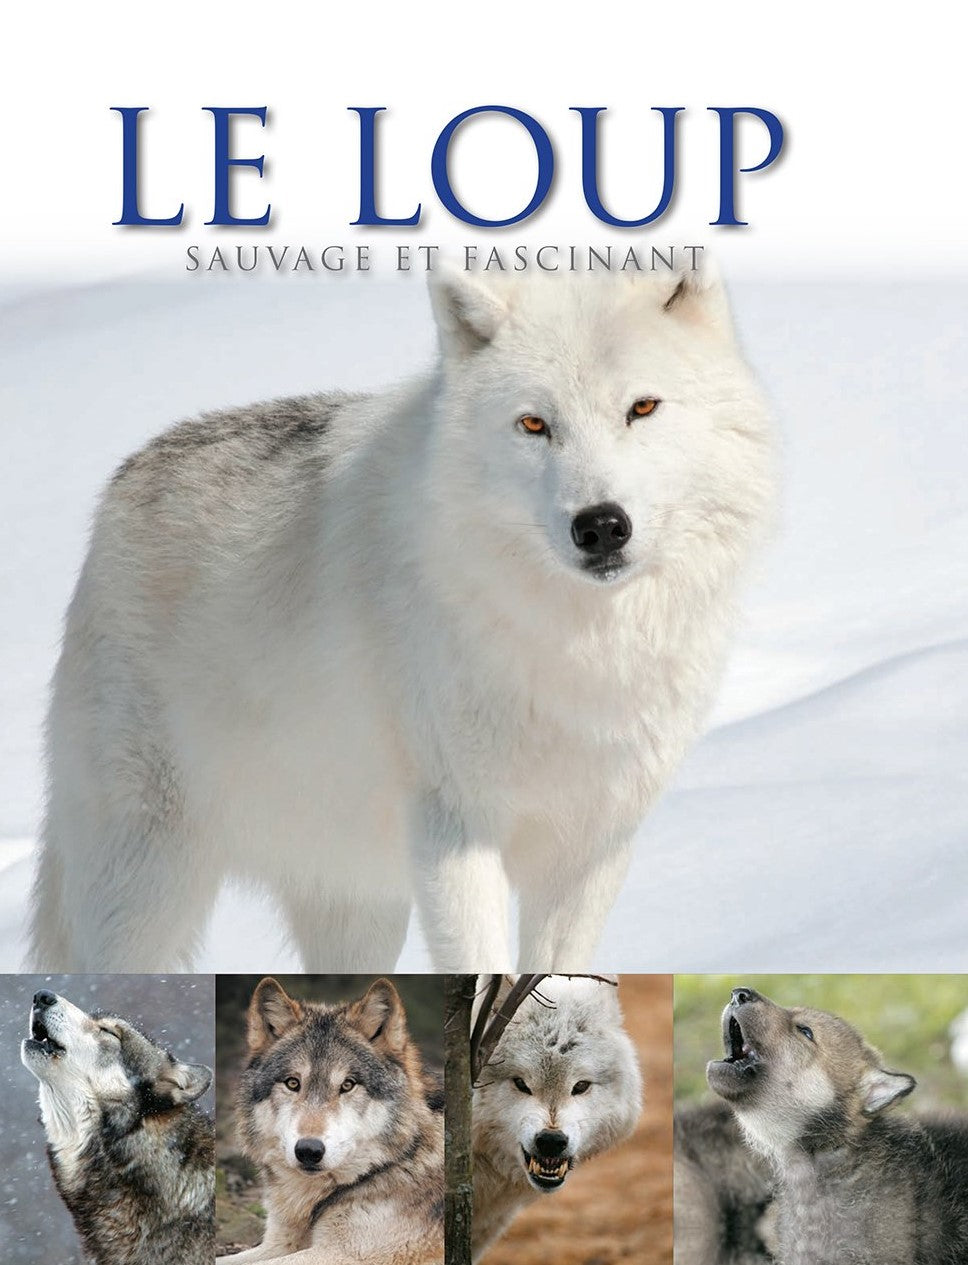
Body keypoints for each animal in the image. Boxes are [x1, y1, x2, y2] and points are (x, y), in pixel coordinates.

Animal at [31, 265, 773, 974]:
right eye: (534, 424)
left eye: (641, 408)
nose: (600, 526)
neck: (579, 646)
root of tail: (125, 477)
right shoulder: (455, 832)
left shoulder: (592, 849)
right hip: (149, 884)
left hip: (358, 902)